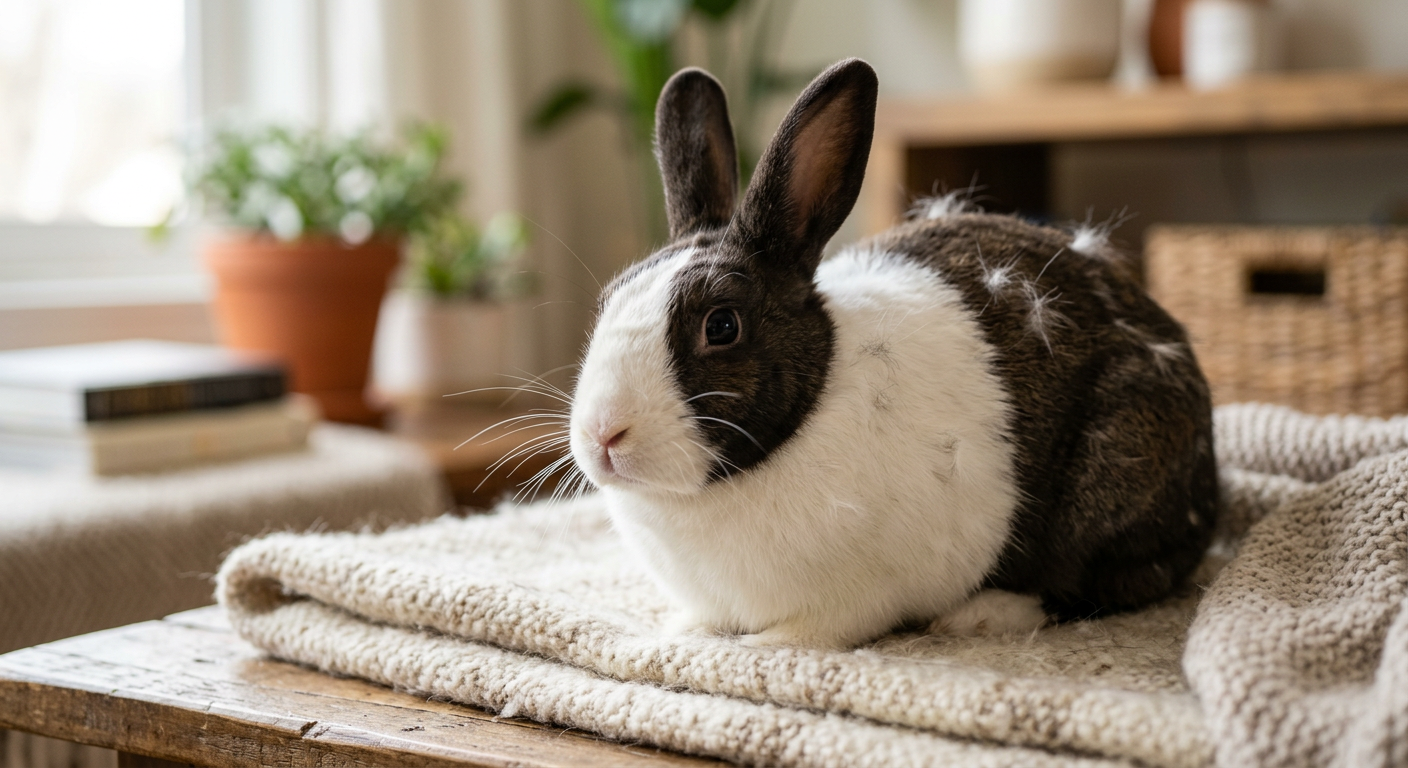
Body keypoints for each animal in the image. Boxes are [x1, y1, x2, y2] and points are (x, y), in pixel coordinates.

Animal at [566, 58, 1217, 649]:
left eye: (721, 326)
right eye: (607, 300)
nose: (604, 435)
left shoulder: (856, 600)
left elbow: (811, 633)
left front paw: (758, 649)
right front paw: (685, 633)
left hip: (1114, 478)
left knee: (1107, 583)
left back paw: (984, 615)